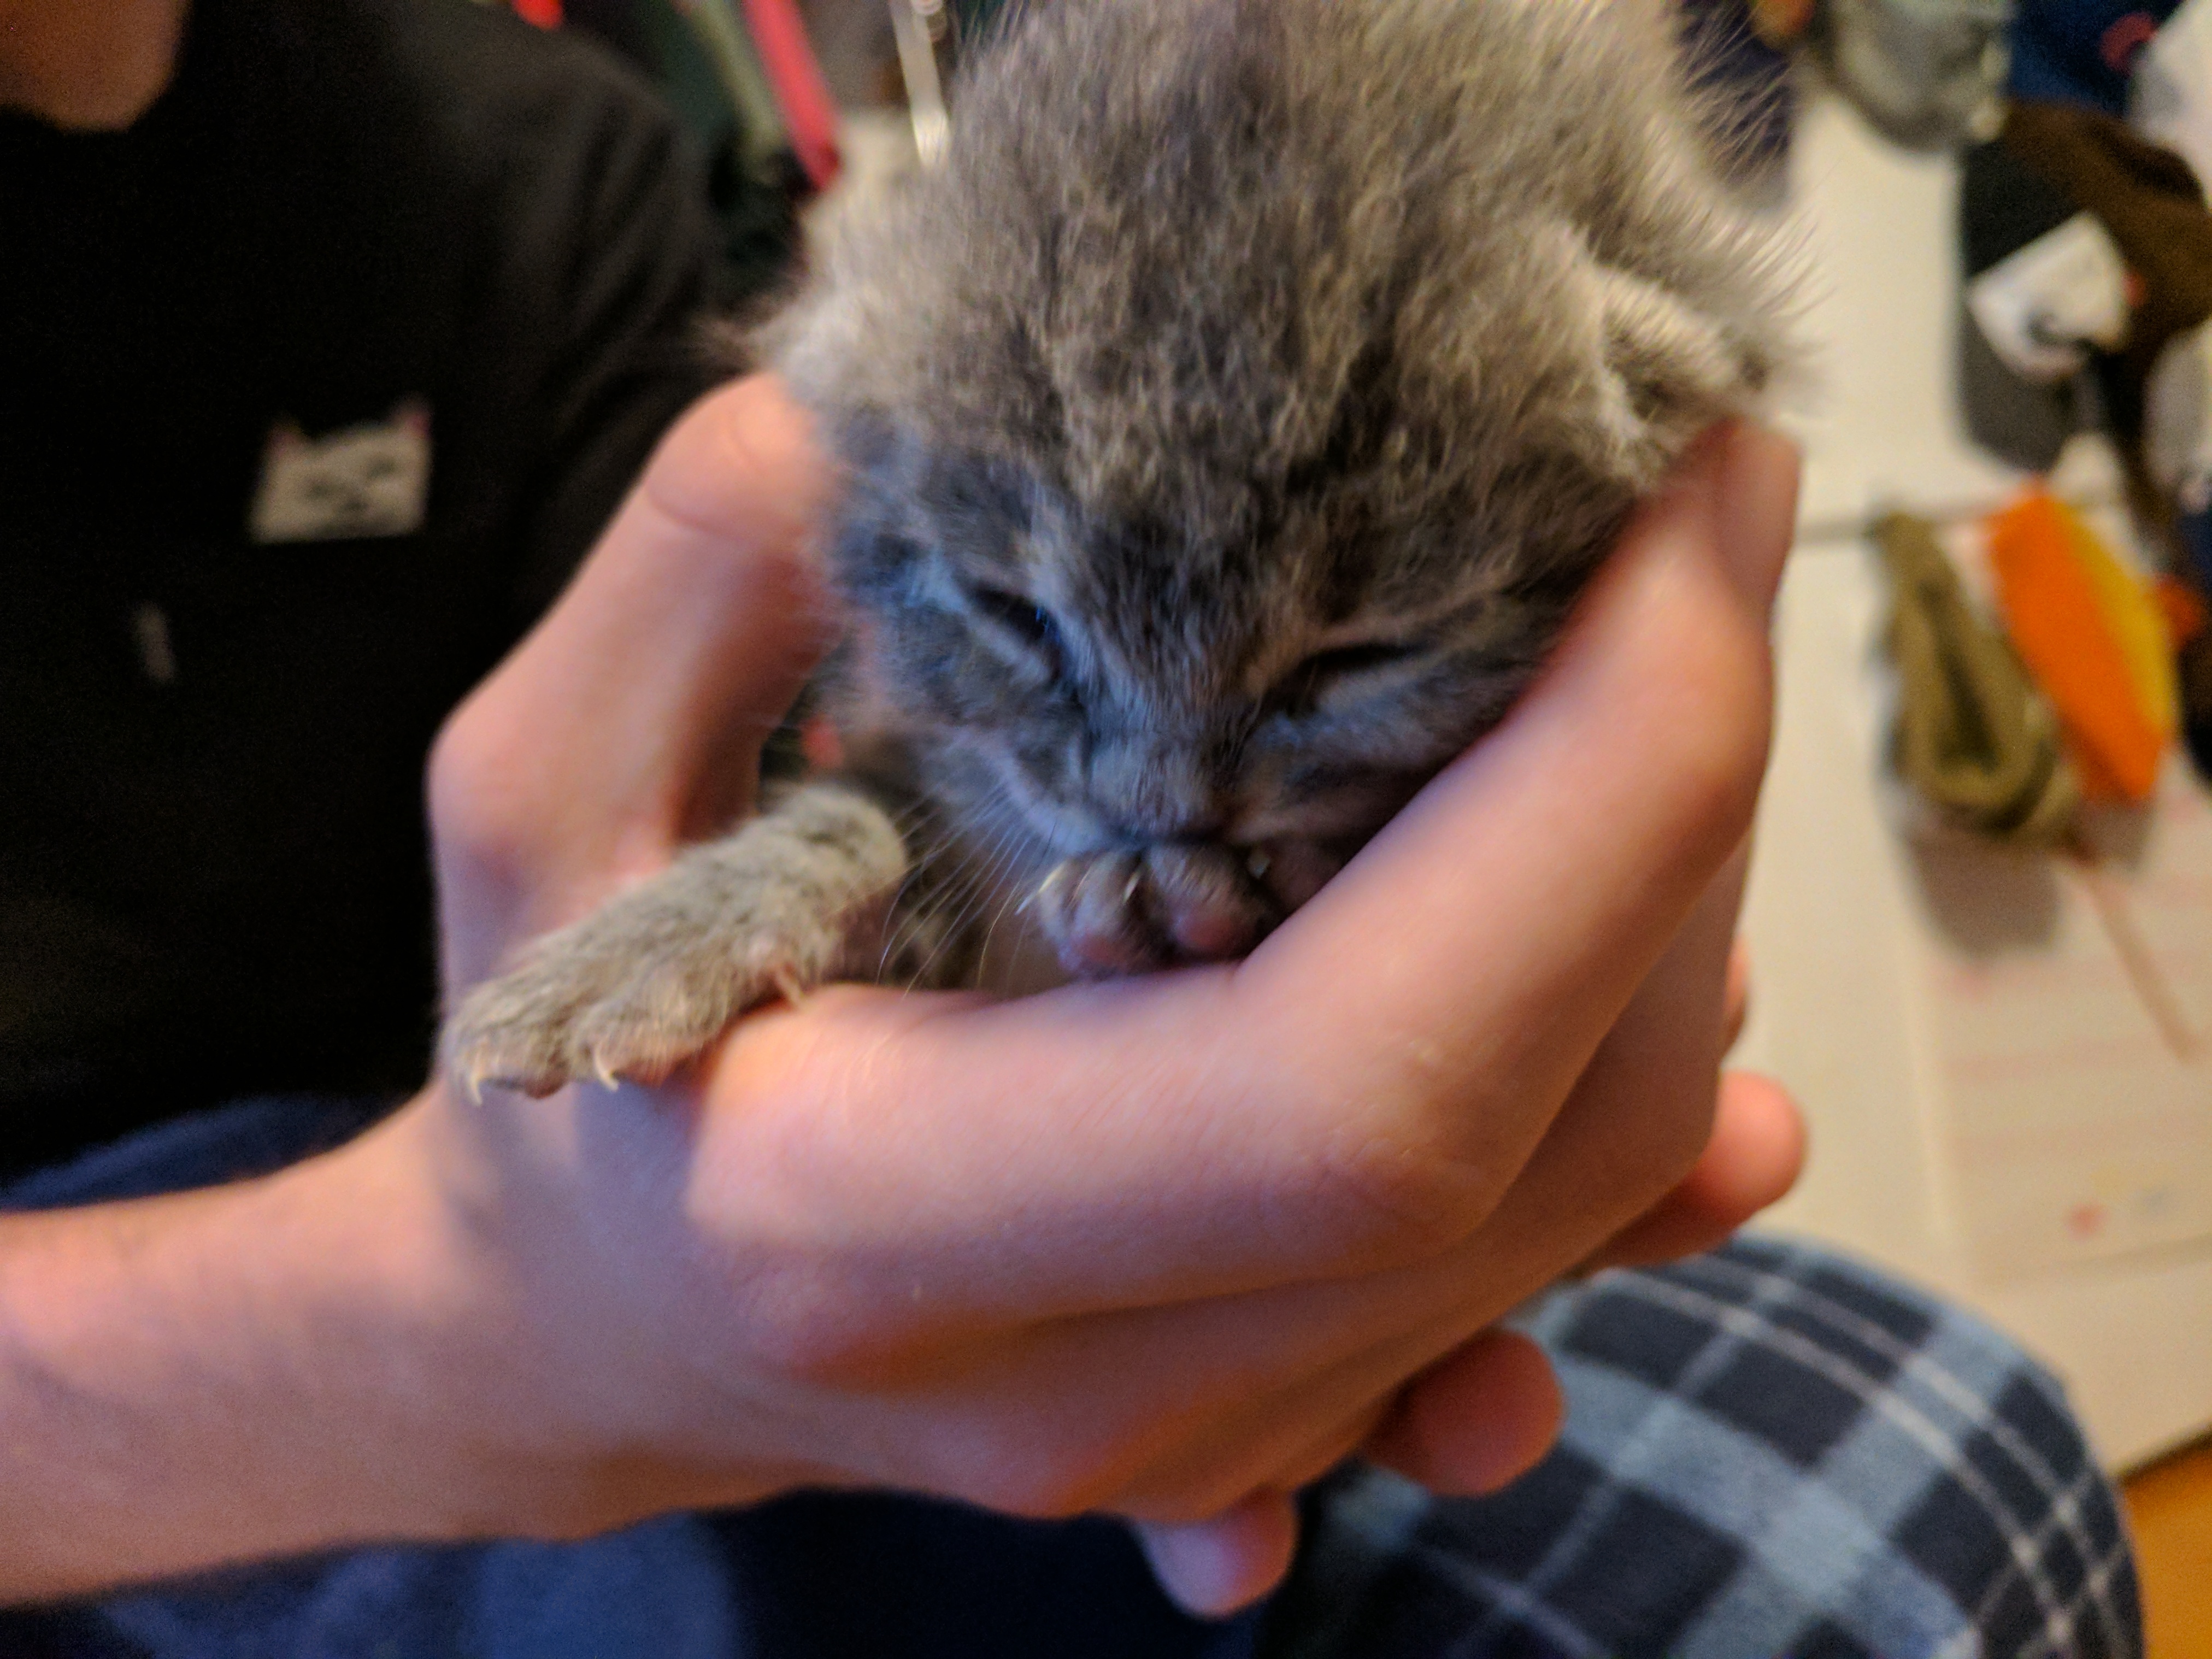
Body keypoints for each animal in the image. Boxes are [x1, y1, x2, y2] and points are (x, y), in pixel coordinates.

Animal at [443, 0, 1797, 1098]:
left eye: (1354, 662)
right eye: (1014, 616)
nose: (1149, 812)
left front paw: (1197, 905)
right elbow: (855, 810)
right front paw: (646, 940)